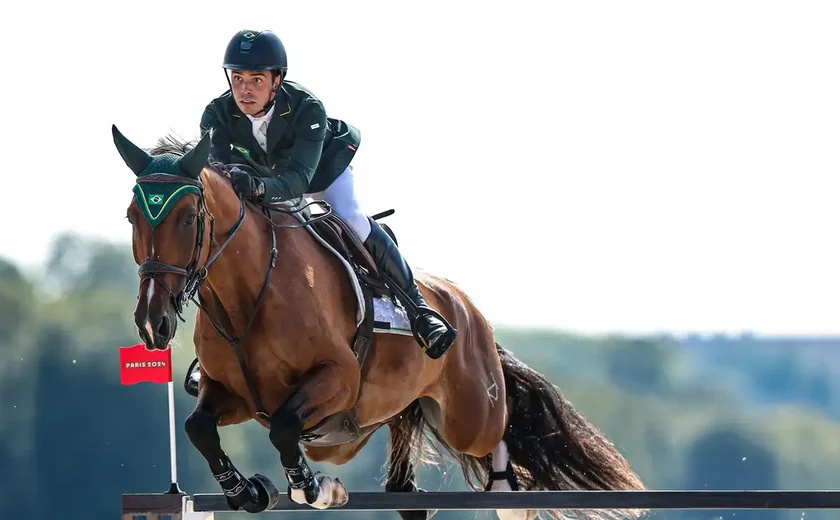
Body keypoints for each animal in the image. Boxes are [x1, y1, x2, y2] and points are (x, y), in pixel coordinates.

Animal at [111, 125, 648, 520]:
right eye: (133, 215)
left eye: (187, 218)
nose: (153, 323)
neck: (247, 296)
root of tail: (468, 309)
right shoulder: (234, 394)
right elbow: (198, 427)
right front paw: (248, 491)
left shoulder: (337, 379)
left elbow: (284, 428)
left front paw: (314, 489)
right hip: (398, 415)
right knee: (406, 490)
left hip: (468, 413)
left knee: (497, 431)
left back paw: (508, 498)